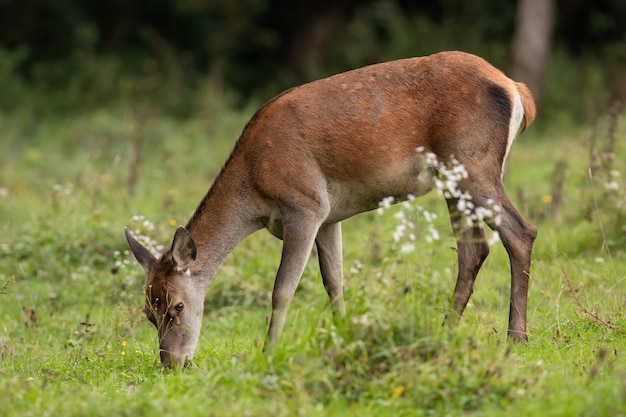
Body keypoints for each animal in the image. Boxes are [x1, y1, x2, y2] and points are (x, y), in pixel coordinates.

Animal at [124, 51, 532, 368]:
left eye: (177, 306)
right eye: (148, 311)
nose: (172, 363)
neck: (254, 191)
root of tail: (517, 91)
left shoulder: (305, 205)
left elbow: (283, 288)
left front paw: (269, 352)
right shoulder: (330, 216)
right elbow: (334, 281)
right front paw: (345, 334)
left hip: (472, 162)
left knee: (521, 232)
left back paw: (516, 337)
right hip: (454, 179)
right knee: (473, 249)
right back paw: (448, 329)